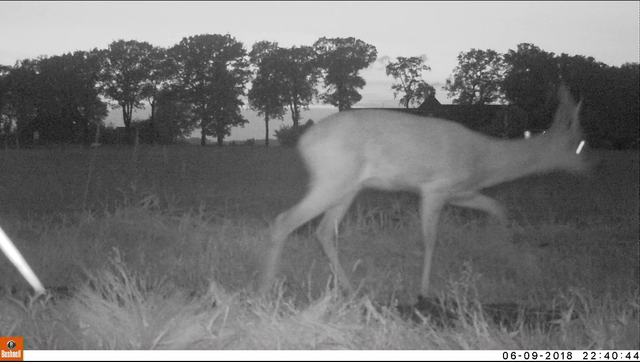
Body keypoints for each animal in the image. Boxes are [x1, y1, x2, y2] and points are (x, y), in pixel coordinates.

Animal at [258, 83, 588, 298]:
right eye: (576, 143)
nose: (591, 166)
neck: (484, 159)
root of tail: (303, 142)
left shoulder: (461, 193)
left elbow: (498, 208)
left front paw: (509, 254)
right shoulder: (434, 189)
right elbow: (430, 239)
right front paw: (425, 291)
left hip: (347, 187)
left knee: (324, 230)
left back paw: (350, 289)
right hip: (333, 180)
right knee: (284, 220)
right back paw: (266, 289)